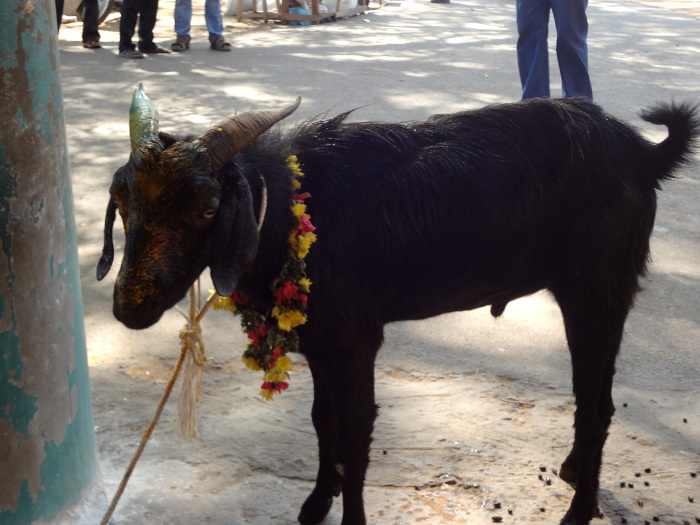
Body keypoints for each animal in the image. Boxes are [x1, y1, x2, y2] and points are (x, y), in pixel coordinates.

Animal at [95, 92, 696, 524]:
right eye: (123, 203)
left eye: (206, 208)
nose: (129, 307)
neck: (291, 210)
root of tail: (641, 153)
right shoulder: (320, 345)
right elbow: (324, 423)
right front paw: (317, 502)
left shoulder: (356, 342)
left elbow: (356, 438)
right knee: (596, 399)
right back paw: (574, 472)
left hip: (597, 294)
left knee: (597, 405)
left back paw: (578, 511)